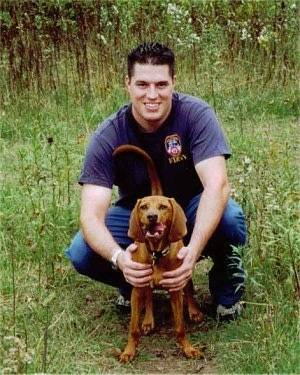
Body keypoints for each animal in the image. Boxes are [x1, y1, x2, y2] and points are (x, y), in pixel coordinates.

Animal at [112, 145, 204, 362]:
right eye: (143, 207)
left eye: (163, 207)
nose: (152, 217)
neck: (156, 253)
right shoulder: (137, 288)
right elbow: (133, 328)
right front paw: (129, 351)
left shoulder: (175, 289)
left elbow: (180, 327)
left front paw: (188, 348)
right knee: (149, 296)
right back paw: (148, 320)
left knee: (189, 286)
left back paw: (194, 311)